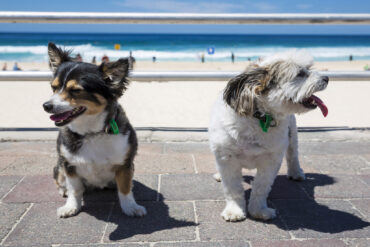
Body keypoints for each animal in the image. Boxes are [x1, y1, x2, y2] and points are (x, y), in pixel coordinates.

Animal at [43, 42, 146, 218]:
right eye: (53, 87)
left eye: (76, 90)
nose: (46, 106)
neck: (91, 133)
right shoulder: (69, 165)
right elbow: (75, 189)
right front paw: (71, 207)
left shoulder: (125, 165)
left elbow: (125, 189)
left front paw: (130, 207)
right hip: (59, 168)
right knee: (61, 181)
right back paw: (64, 191)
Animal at [210, 50, 328, 222]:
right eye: (300, 74)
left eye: (308, 68)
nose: (326, 78)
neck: (260, 117)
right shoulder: (227, 158)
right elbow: (233, 188)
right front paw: (235, 210)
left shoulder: (270, 160)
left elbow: (261, 187)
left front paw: (258, 210)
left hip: (292, 134)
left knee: (293, 155)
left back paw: (296, 173)